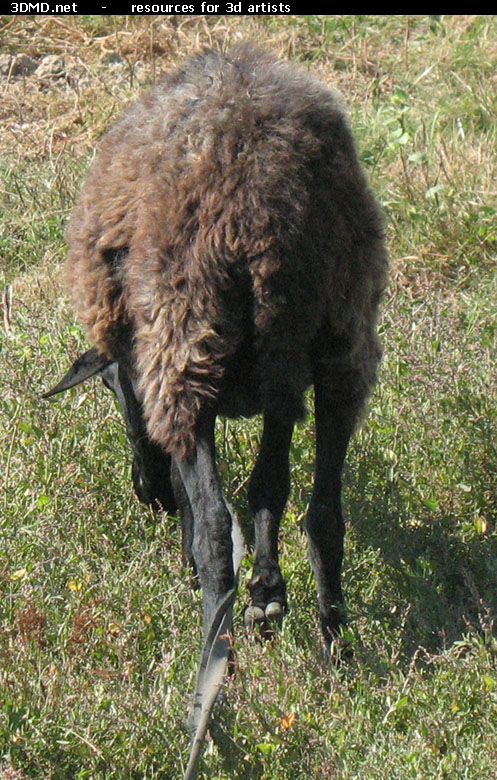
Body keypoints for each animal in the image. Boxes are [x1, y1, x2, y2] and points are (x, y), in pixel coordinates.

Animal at [45, 44, 388, 780]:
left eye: (111, 388)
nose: (143, 494)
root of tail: (260, 210)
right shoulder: (281, 388)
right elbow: (269, 491)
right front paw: (270, 594)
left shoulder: (153, 371)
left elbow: (213, 505)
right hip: (339, 341)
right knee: (322, 511)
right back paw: (331, 645)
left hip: (184, 346)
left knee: (211, 527)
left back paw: (213, 671)